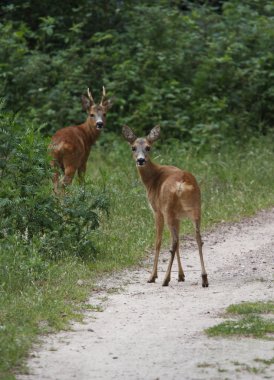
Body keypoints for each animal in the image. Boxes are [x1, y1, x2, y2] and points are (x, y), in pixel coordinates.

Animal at [121, 126, 209, 286]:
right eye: (133, 147)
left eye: (148, 147)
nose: (141, 160)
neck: (152, 180)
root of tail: (183, 182)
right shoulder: (179, 217)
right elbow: (180, 241)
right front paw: (181, 275)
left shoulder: (157, 210)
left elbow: (158, 241)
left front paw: (153, 276)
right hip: (196, 209)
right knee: (198, 239)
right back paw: (204, 278)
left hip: (168, 210)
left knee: (173, 242)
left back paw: (165, 279)